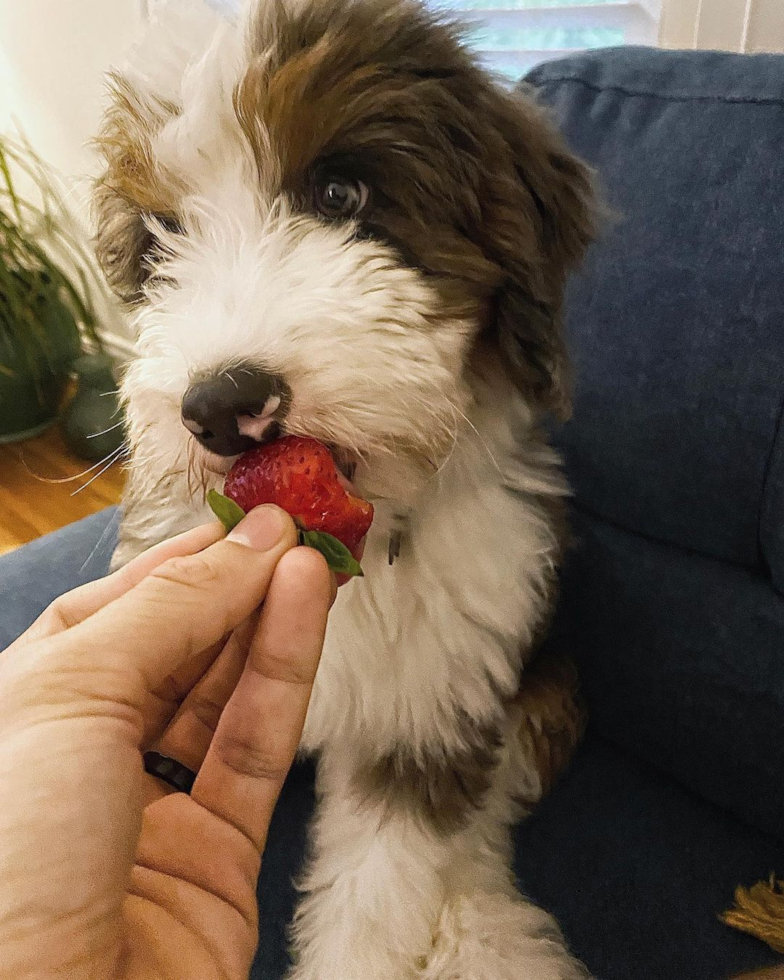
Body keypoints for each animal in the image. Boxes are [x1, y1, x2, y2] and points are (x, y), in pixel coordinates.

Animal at [93, 3, 596, 976]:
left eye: (339, 196)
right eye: (161, 239)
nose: (221, 405)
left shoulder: (432, 703)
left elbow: (380, 894)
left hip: (544, 687)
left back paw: (483, 929)